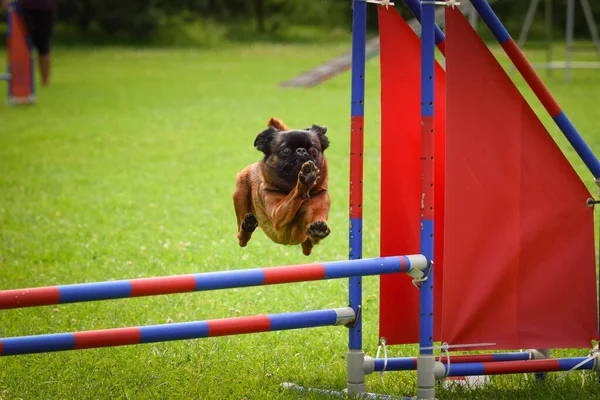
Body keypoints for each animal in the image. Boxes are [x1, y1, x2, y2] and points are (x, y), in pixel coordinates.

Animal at [232, 117, 330, 255]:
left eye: (313, 150)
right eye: (285, 150)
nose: (301, 150)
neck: (291, 186)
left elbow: (316, 224)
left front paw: (318, 229)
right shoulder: (277, 213)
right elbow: (292, 196)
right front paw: (305, 178)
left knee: (307, 247)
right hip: (240, 194)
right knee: (241, 236)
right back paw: (247, 227)